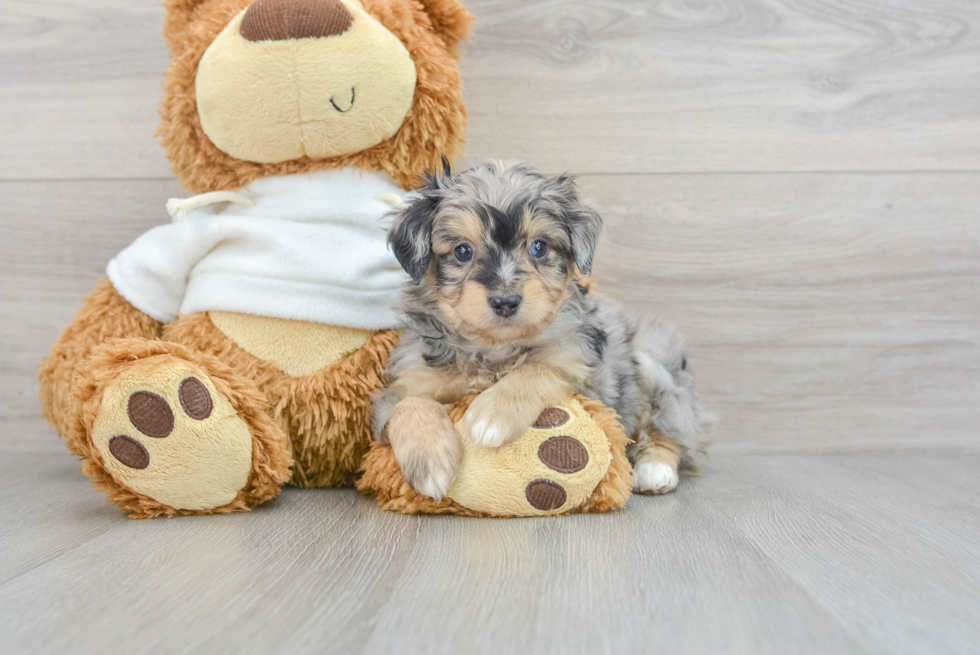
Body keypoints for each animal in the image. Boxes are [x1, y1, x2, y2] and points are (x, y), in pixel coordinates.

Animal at [372, 161, 708, 500]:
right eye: (463, 251)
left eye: (539, 247)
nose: (506, 301)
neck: (494, 348)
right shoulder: (406, 383)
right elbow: (407, 404)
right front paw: (430, 463)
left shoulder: (580, 366)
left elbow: (536, 368)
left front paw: (492, 414)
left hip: (655, 365)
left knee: (671, 427)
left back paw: (654, 469)